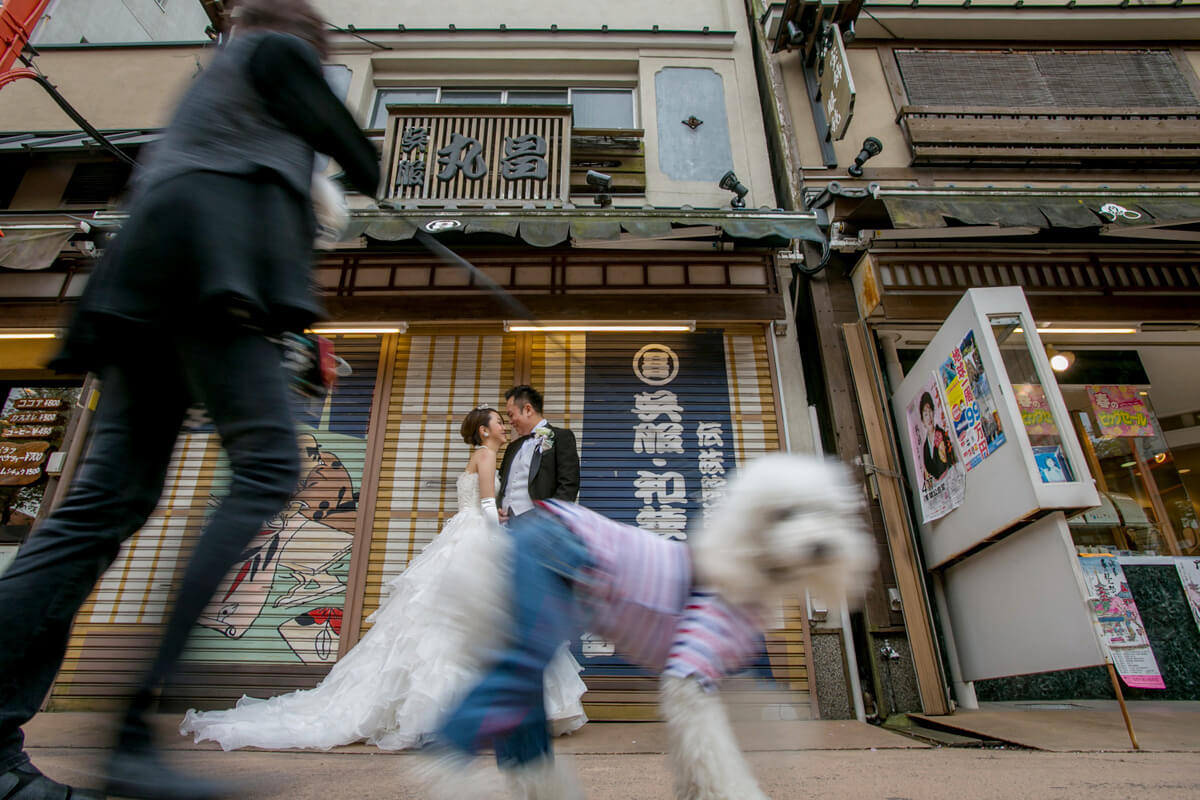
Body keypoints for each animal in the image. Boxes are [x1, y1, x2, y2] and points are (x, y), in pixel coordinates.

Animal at [422, 453, 873, 800]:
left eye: (827, 512)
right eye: (784, 514)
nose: (823, 546)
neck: (740, 567)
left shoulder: (721, 676)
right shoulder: (690, 671)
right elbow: (715, 749)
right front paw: (735, 791)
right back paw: (450, 779)